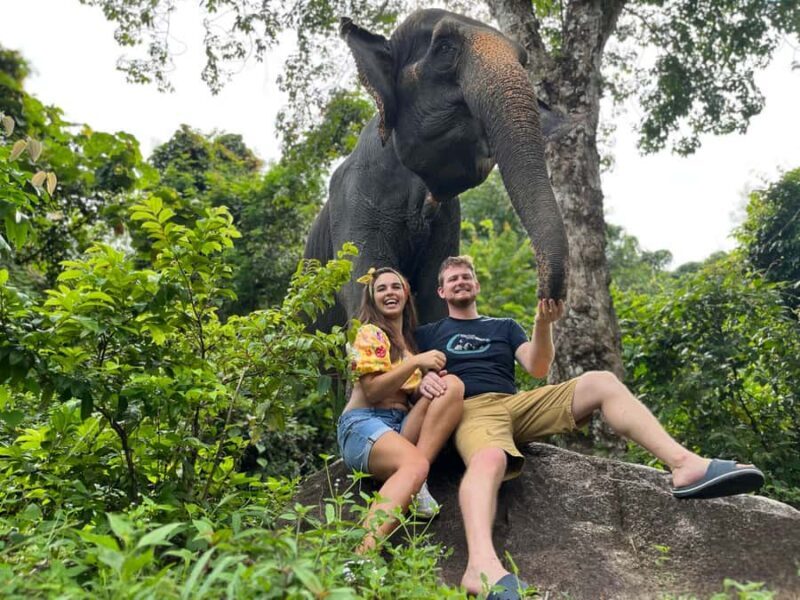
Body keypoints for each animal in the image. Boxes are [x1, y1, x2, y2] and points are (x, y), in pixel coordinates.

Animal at [304, 8, 568, 329]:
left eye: (524, 61)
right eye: (444, 48)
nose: (547, 303)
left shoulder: (448, 219)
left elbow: (434, 298)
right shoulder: (353, 203)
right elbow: (363, 283)